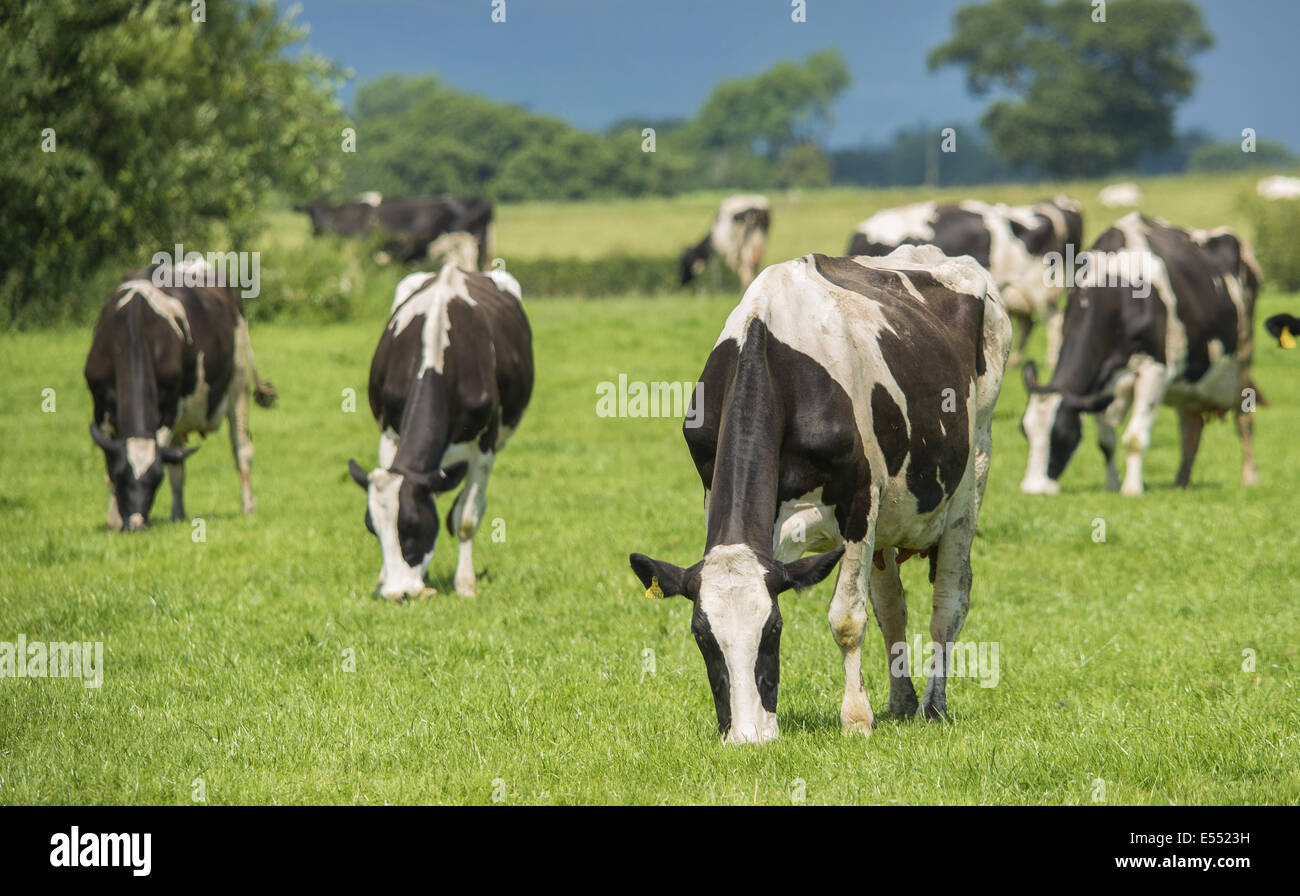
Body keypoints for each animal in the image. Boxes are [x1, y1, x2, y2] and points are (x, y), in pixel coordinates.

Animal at [84, 264, 277, 531]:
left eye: (156, 480)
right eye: (120, 475)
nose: (137, 524)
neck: (133, 325)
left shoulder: (169, 407)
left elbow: (166, 458)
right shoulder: (99, 405)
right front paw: (113, 522)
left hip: (237, 383)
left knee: (242, 450)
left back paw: (248, 507)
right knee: (178, 464)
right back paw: (177, 514)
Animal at [348, 264, 532, 599]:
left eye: (413, 525)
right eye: (372, 528)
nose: (397, 593)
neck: (437, 353)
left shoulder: (485, 447)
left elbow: (466, 518)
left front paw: (465, 585)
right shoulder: (389, 435)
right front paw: (383, 578)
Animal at [630, 246, 1012, 744]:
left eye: (773, 629)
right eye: (701, 635)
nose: (748, 738)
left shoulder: (859, 504)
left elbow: (847, 618)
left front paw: (856, 720)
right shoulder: (720, 495)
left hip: (970, 476)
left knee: (948, 601)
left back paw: (932, 707)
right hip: (889, 522)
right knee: (893, 608)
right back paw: (902, 702)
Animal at [1019, 214, 1262, 496]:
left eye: (1062, 435)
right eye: (1024, 431)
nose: (1032, 489)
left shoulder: (1155, 370)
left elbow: (1135, 437)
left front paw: (1131, 489)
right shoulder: (1101, 383)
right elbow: (1106, 441)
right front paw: (1112, 485)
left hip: (1242, 363)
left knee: (1244, 421)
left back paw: (1250, 477)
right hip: (1192, 382)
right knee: (1190, 429)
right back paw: (1181, 481)